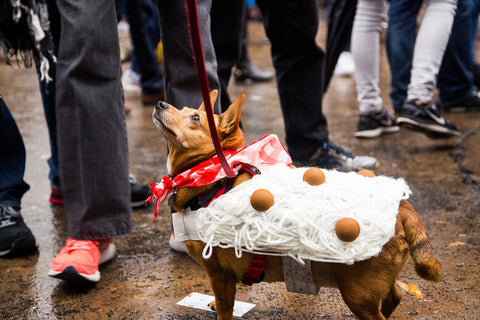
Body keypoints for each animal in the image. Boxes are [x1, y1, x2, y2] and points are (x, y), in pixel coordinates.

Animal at [152, 91, 440, 320]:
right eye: (184, 109)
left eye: (195, 118)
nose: (160, 103)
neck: (213, 174)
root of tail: (403, 207)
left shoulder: (219, 275)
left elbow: (225, 308)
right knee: (394, 297)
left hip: (358, 294)